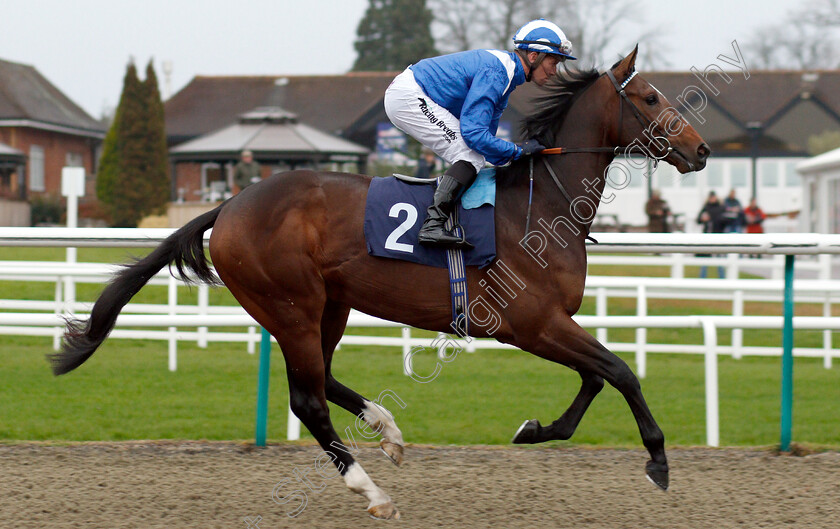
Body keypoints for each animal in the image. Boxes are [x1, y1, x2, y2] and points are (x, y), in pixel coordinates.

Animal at [50, 47, 708, 516]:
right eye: (649, 96)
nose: (701, 150)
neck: (542, 202)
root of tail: (230, 205)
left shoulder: (550, 323)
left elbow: (597, 378)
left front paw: (535, 429)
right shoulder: (531, 322)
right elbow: (618, 371)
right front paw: (657, 460)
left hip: (329, 306)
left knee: (323, 377)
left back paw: (386, 430)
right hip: (289, 304)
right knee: (307, 398)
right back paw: (370, 490)